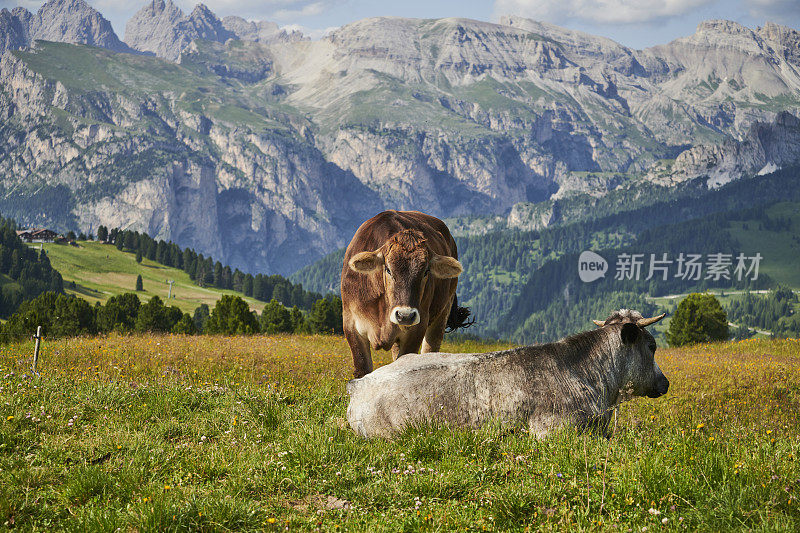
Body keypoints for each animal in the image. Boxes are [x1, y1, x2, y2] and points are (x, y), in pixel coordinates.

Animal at [340, 209, 472, 378]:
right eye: (388, 269)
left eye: (426, 271)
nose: (405, 315)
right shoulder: (351, 325)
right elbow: (362, 369)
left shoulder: (416, 329)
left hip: (443, 311)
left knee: (430, 347)